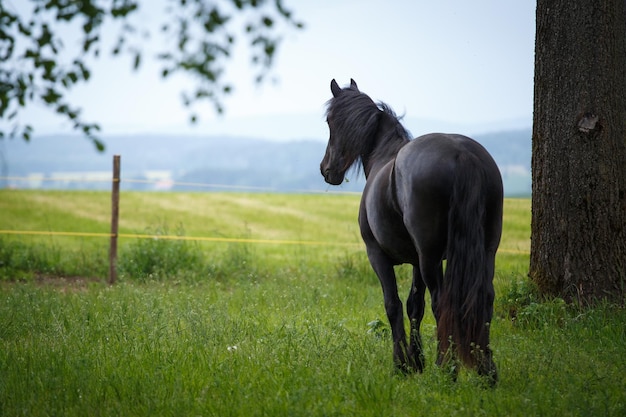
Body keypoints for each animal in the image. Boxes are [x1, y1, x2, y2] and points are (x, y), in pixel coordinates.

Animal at [320, 79, 500, 382]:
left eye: (330, 121)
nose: (326, 169)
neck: (384, 158)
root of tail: (462, 154)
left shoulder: (378, 256)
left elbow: (392, 305)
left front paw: (401, 364)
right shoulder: (416, 261)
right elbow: (414, 306)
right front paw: (417, 362)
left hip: (430, 258)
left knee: (443, 303)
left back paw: (446, 369)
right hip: (485, 250)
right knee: (484, 298)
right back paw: (487, 371)